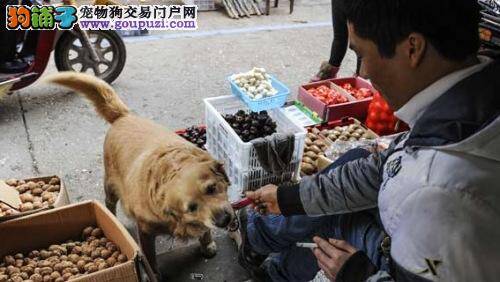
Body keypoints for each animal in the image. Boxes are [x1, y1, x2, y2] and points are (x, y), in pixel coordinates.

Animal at [47, 71, 234, 276]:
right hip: (110, 184)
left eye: (212, 188)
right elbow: (150, 258)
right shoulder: (145, 231)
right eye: (191, 207)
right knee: (109, 202)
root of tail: (124, 116)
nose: (224, 219)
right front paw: (154, 275)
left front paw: (207, 244)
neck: (171, 168)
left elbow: (205, 229)